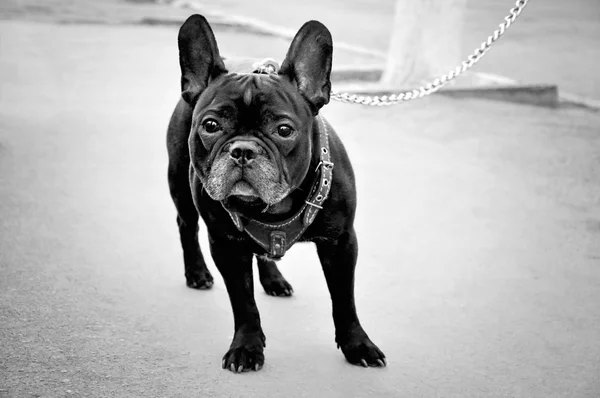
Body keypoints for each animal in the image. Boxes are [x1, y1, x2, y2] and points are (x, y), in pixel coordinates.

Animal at [166, 14, 386, 372]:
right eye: (211, 125)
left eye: (283, 130)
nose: (243, 150)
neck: (273, 208)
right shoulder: (226, 246)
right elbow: (243, 302)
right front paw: (246, 347)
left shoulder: (341, 244)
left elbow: (344, 299)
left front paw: (358, 345)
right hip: (179, 184)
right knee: (186, 225)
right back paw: (197, 272)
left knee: (263, 251)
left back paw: (273, 279)